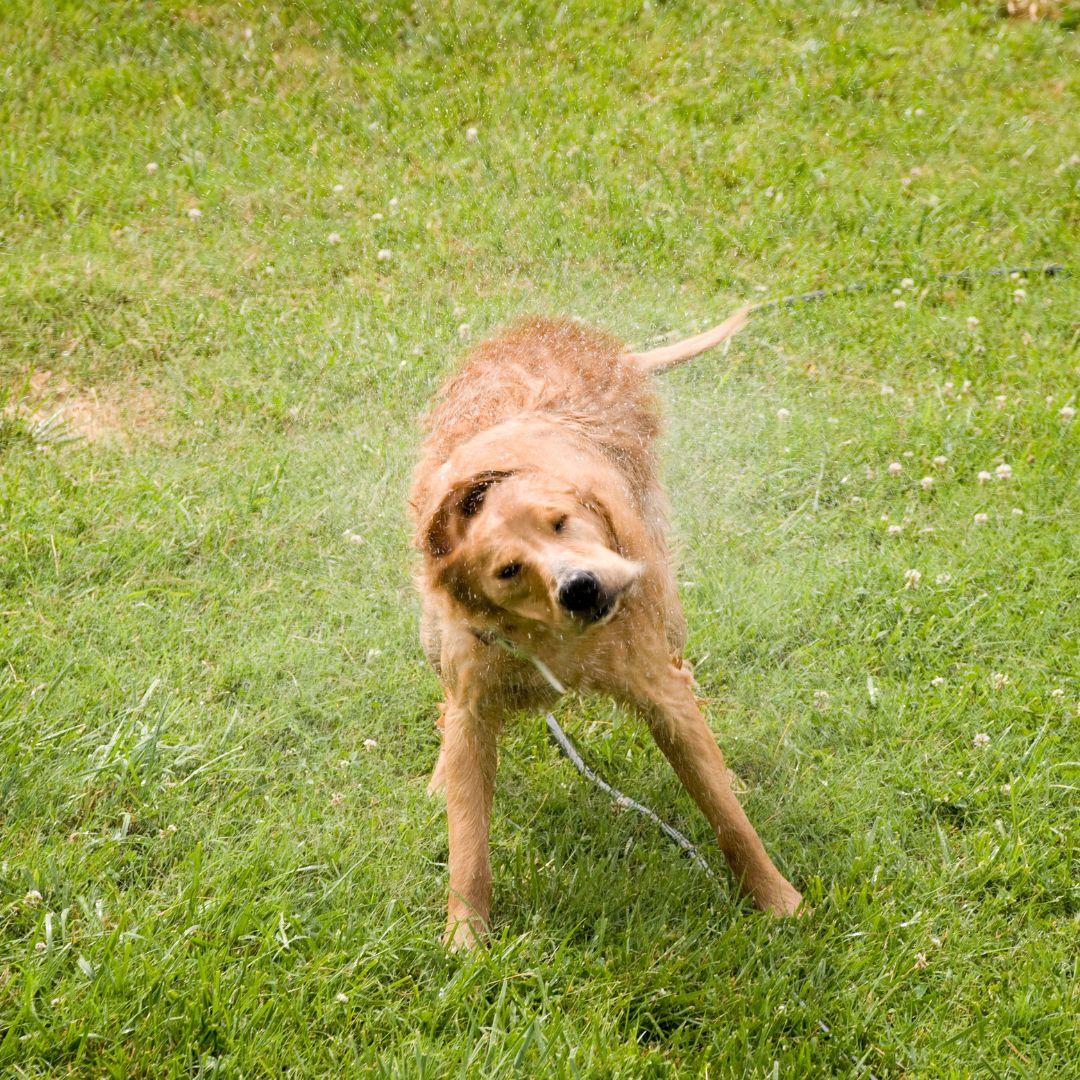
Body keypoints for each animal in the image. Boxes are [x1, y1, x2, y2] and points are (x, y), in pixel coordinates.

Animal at [410, 304, 803, 946]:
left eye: (561, 521)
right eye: (508, 569)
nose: (581, 586)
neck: (552, 639)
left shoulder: (659, 692)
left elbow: (726, 815)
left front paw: (779, 901)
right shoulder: (473, 696)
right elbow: (468, 846)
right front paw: (465, 941)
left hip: (667, 607)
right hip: (434, 643)